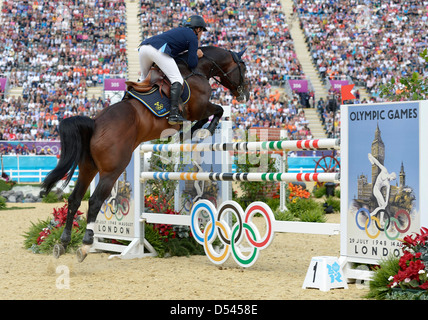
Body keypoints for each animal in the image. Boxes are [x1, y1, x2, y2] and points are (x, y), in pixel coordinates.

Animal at [41, 45, 249, 262]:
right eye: (243, 67)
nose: (245, 93)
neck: (198, 69)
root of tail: (95, 123)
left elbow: (203, 119)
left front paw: (189, 133)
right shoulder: (200, 107)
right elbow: (217, 110)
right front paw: (205, 130)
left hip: (88, 168)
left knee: (74, 199)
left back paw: (63, 242)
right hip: (112, 171)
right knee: (95, 200)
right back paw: (86, 244)